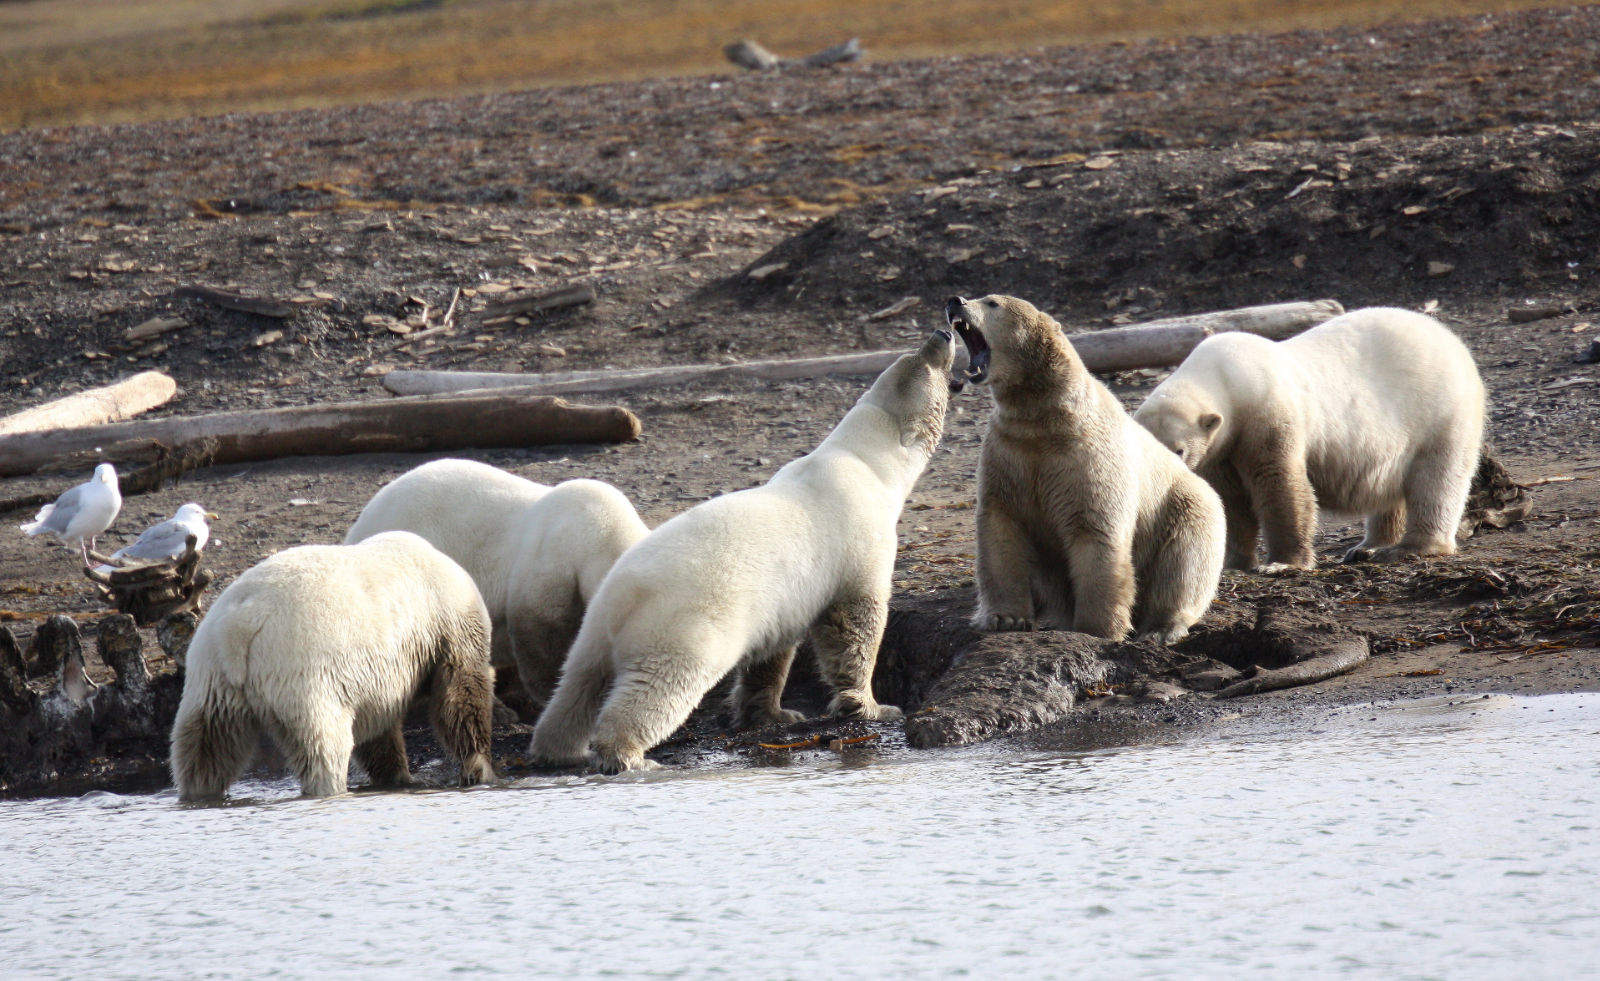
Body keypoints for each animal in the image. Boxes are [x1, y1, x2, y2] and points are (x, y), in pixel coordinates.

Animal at [168, 531, 492, 800]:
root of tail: (239, 627)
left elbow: (377, 727)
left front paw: (396, 776)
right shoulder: (449, 622)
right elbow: (461, 694)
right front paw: (479, 768)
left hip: (211, 677)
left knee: (206, 746)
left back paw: (199, 793)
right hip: (302, 672)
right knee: (322, 745)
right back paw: (329, 787)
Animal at [528, 329, 960, 771]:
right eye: (925, 363)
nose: (944, 333)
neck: (865, 462)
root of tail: (626, 594)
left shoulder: (782, 599)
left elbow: (773, 648)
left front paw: (775, 713)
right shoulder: (857, 540)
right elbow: (854, 624)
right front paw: (871, 705)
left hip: (595, 624)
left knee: (578, 683)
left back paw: (558, 748)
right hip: (682, 625)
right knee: (659, 685)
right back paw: (628, 754)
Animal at [940, 291, 1216, 643]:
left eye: (992, 302)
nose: (955, 300)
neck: (1047, 419)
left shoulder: (1086, 460)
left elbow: (1095, 529)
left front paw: (1097, 628)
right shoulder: (1008, 452)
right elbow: (1001, 527)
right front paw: (1005, 618)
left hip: (1183, 506)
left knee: (1184, 563)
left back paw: (1162, 627)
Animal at [1139, 304, 1484, 566]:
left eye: (1179, 450)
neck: (1226, 377)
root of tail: (1452, 340)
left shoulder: (1268, 413)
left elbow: (1279, 481)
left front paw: (1283, 563)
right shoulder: (1219, 449)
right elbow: (1230, 499)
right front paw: (1234, 561)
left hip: (1440, 411)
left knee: (1438, 478)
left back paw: (1411, 547)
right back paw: (1367, 546)